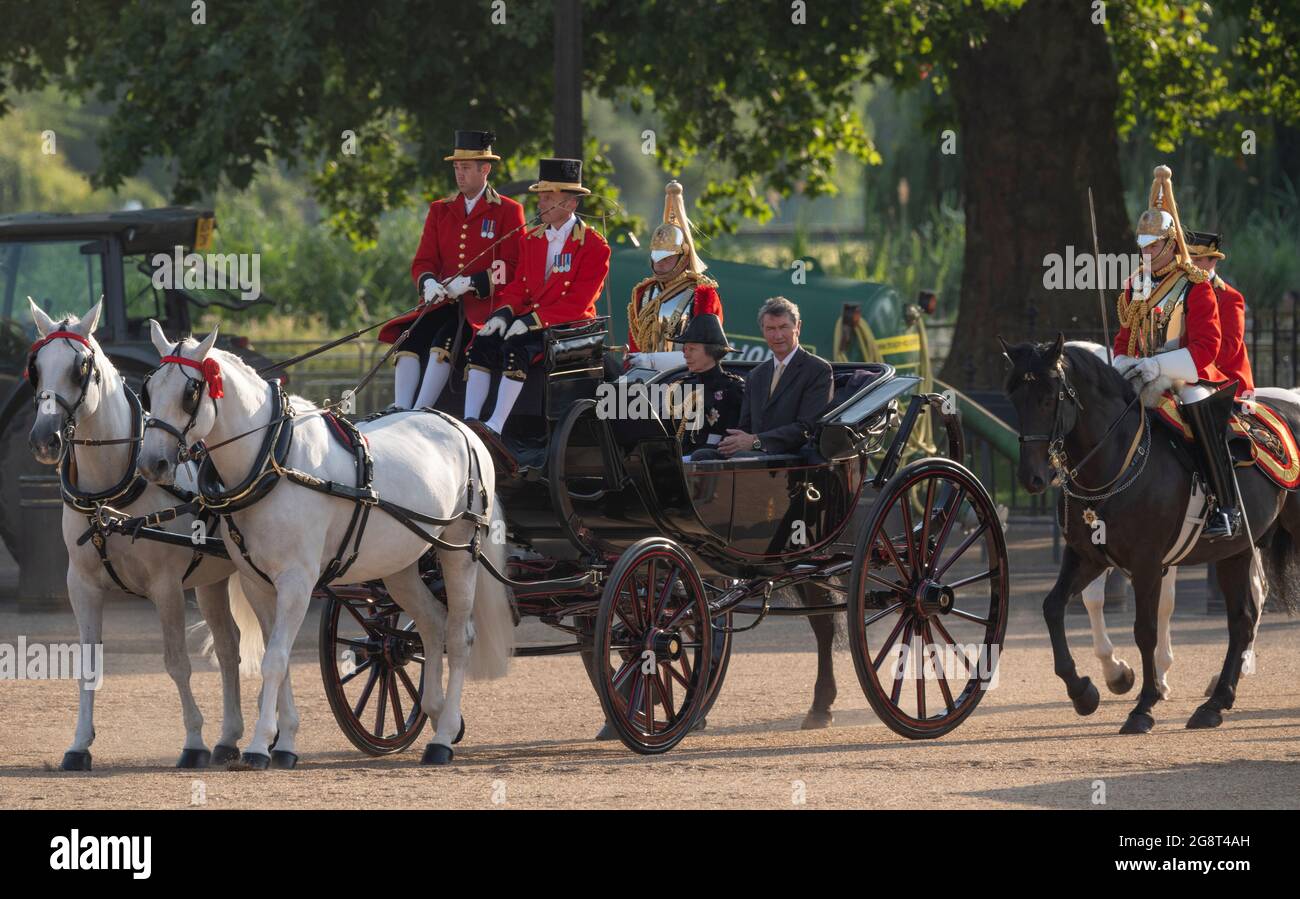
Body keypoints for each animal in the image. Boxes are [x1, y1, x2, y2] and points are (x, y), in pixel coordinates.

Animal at [27, 298, 266, 769]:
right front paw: (78, 745)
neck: (109, 494)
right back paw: (229, 738)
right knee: (228, 647)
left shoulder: (166, 586)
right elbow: (87, 664)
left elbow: (177, 662)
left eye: (81, 369)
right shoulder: (81, 586)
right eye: (37, 368)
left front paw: (192, 742)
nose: (45, 439)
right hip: (211, 580)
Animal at [135, 320, 512, 763]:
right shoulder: (258, 583)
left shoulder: (297, 582)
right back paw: (435, 714)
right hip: (400, 565)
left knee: (458, 635)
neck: (273, 460)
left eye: (189, 392)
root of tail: (461, 427)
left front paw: (261, 746)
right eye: (149, 389)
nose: (151, 463)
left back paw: (443, 735)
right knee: (432, 626)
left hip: (460, 550)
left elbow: (275, 660)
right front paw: (285, 743)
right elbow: (274, 657)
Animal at [998, 332, 1294, 732]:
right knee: (1242, 619)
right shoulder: (1088, 557)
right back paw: (1216, 701)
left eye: (1048, 398)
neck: (1114, 462)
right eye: (1015, 398)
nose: (1032, 479)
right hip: (1235, 551)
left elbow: (1146, 629)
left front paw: (1144, 705)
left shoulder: (1148, 564)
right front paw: (1085, 690)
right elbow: (1054, 607)